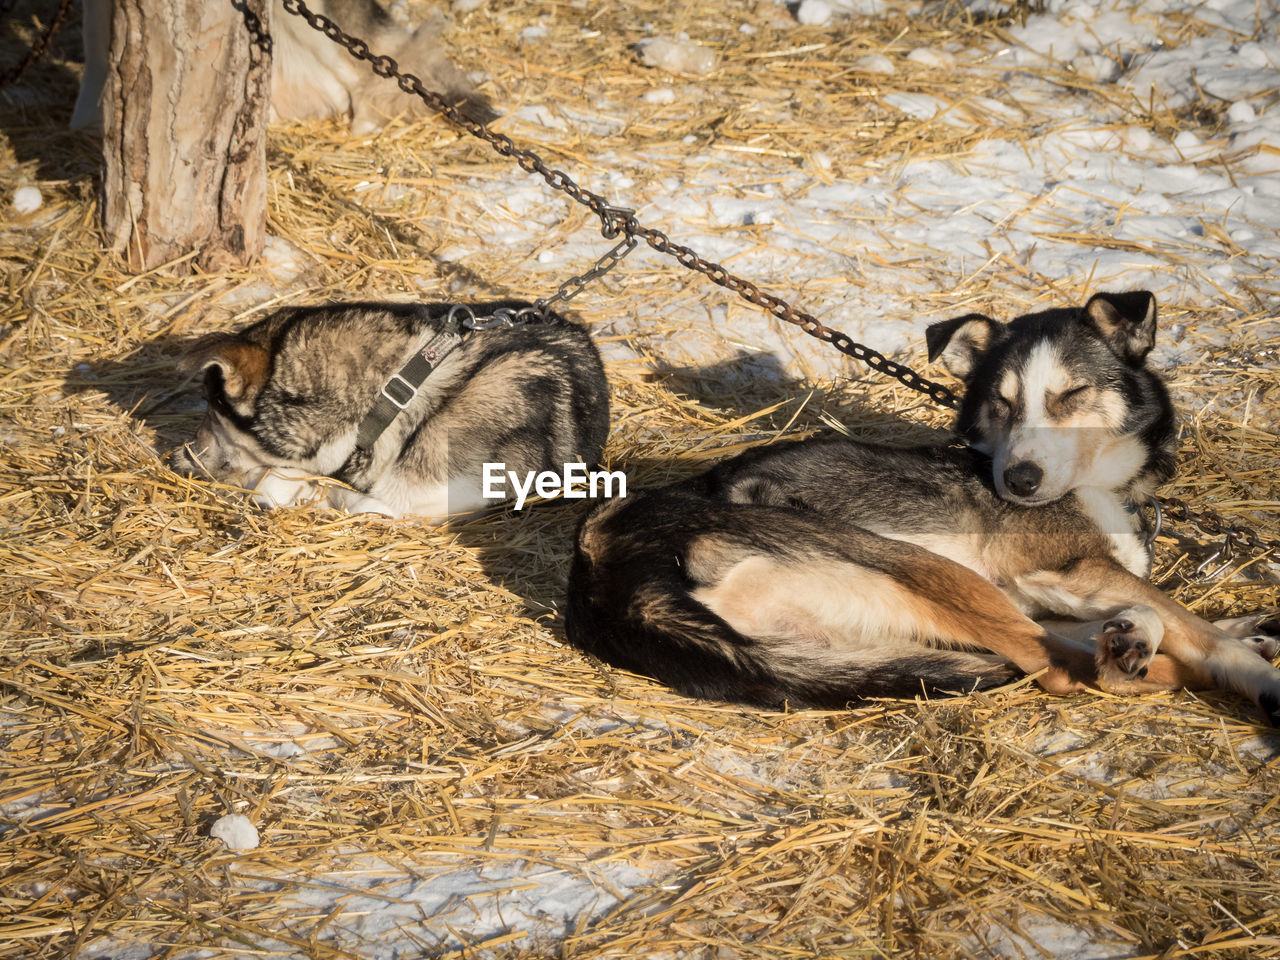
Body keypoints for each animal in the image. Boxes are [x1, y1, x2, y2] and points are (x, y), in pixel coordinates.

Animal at [565, 293, 1280, 727]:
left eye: (1072, 395)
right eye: (1001, 402)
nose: (1018, 481)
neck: (1101, 486)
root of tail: (601, 574)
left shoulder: (1059, 588)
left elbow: (1164, 615)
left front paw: (1234, 629)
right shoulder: (1067, 569)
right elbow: (1187, 626)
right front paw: (1251, 667)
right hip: (916, 564)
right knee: (1061, 668)